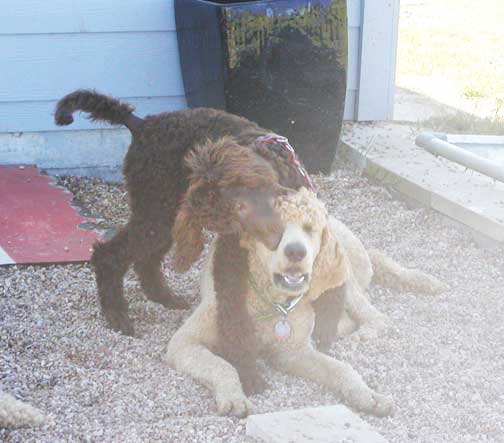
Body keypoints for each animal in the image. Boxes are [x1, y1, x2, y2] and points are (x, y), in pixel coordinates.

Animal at [165, 188, 446, 417]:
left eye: (309, 228)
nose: (296, 252)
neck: (271, 302)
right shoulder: (185, 342)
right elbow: (221, 365)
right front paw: (234, 396)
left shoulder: (294, 351)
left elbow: (341, 368)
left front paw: (368, 396)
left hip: (339, 278)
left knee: (375, 315)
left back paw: (362, 333)